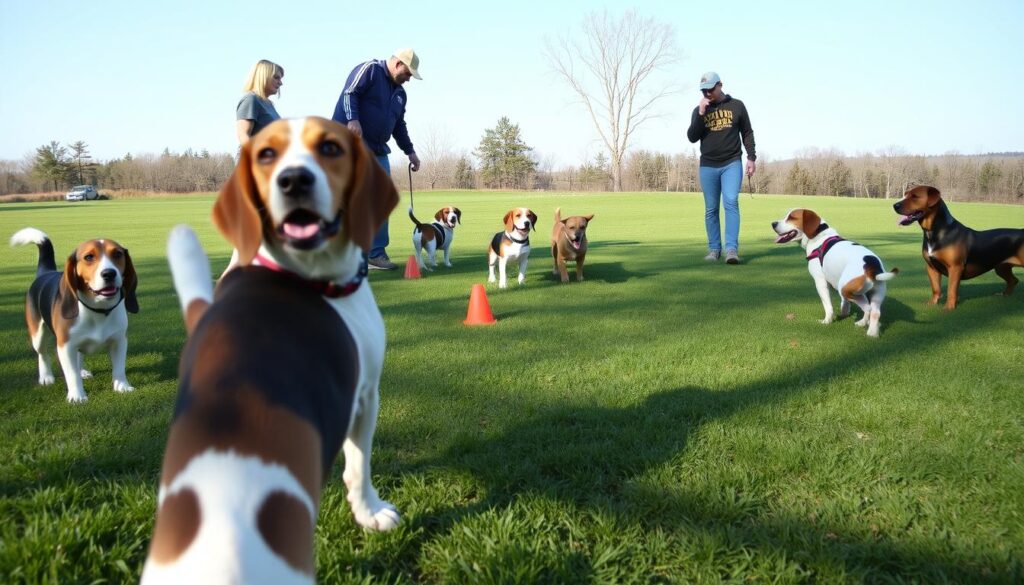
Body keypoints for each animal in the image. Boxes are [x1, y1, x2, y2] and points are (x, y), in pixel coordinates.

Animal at [10, 227, 138, 403]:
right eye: (89, 257)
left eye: (117, 254)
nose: (109, 273)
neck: (97, 310)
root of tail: (46, 272)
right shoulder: (65, 346)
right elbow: (71, 374)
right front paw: (77, 396)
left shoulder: (119, 341)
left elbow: (119, 367)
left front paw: (122, 386)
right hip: (38, 334)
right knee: (42, 354)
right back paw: (46, 377)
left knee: (79, 356)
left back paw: (82, 370)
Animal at [142, 116, 397, 581]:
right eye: (266, 154)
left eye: (330, 147)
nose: (294, 180)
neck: (302, 275)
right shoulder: (367, 395)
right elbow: (359, 468)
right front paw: (371, 514)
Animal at [774, 209, 897, 338]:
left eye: (791, 217)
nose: (773, 224)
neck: (819, 236)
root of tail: (871, 264)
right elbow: (845, 303)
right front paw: (844, 313)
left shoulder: (820, 282)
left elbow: (828, 306)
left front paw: (827, 321)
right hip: (876, 293)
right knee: (875, 312)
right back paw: (871, 332)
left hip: (845, 288)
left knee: (868, 308)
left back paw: (865, 323)